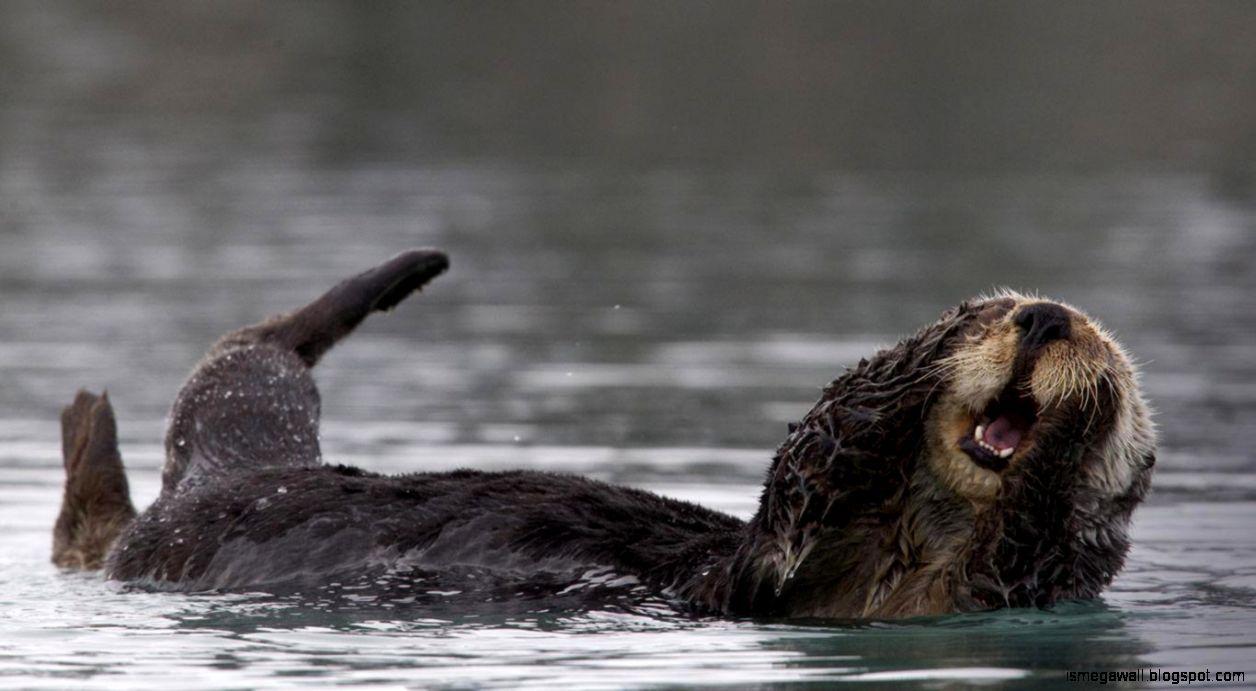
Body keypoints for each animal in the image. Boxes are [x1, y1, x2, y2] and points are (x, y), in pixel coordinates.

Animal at [52, 249, 1155, 618]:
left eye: (1108, 355)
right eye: (989, 312)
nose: (1045, 320)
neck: (915, 535)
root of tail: (242, 475)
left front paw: (1074, 433)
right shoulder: (786, 541)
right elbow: (820, 444)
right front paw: (929, 346)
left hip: (196, 499)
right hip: (246, 430)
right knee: (256, 352)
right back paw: (408, 269)